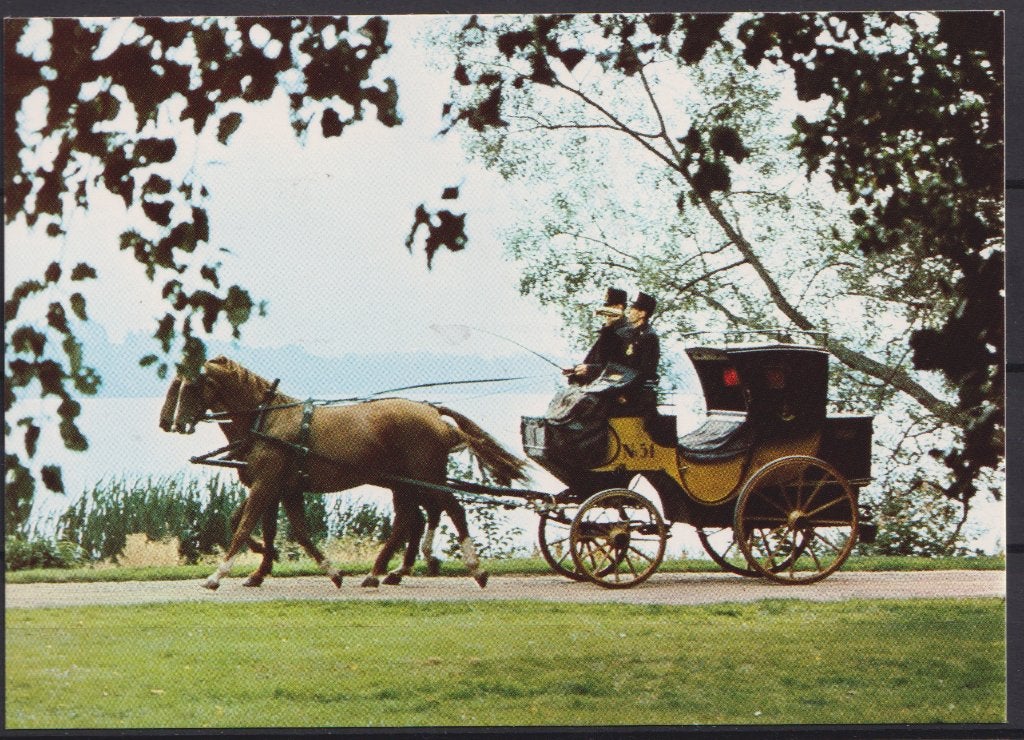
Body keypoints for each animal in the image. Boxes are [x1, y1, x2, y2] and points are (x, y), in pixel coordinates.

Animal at [159, 355, 528, 590]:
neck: (267, 420)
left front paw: (217, 575)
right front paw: (298, 568)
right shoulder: (283, 488)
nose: (167, 422)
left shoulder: (266, 484)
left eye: (188, 385)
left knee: (449, 509)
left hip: (427, 476)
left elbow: (243, 527)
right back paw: (384, 571)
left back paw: (473, 568)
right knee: (413, 517)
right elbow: (289, 531)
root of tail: (432, 413)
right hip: (405, 481)